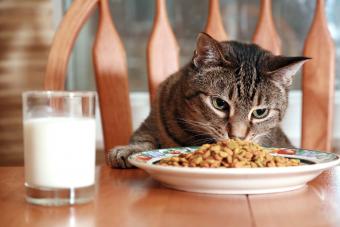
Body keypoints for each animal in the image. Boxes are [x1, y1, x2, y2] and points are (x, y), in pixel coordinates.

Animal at [108, 31, 308, 168]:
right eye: (219, 104)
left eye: (260, 112)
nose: (237, 137)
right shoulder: (152, 120)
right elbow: (143, 138)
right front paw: (129, 150)